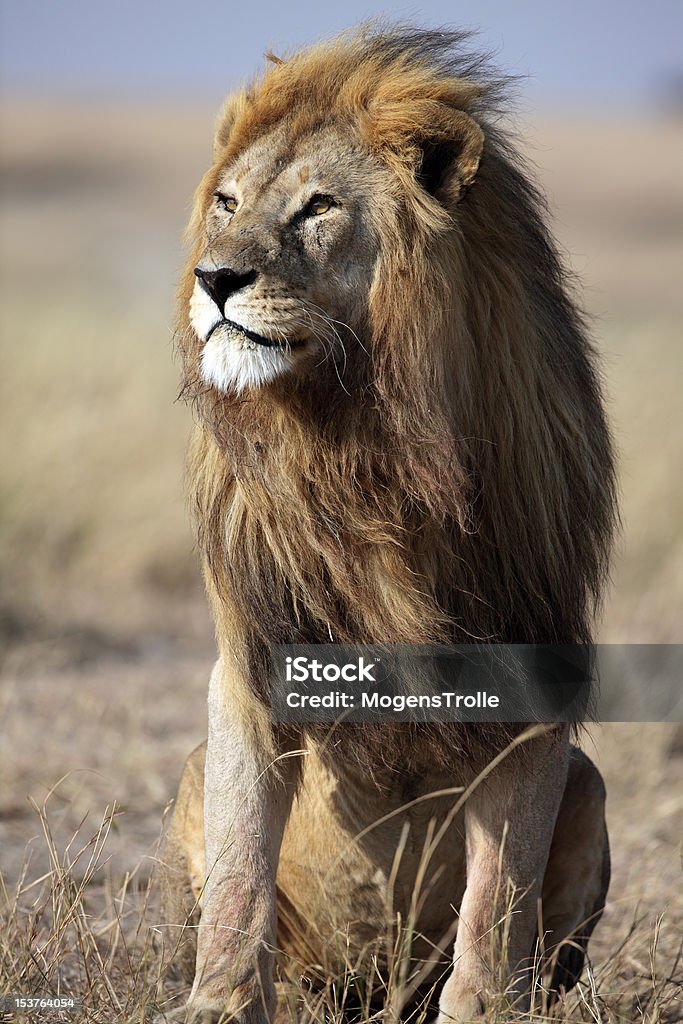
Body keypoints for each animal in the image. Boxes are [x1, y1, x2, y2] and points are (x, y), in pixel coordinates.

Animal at [162, 24, 618, 1024]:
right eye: (226, 203)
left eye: (317, 208)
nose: (215, 278)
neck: (362, 441)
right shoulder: (251, 664)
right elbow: (241, 877)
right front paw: (217, 1003)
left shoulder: (533, 676)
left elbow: (497, 904)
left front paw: (483, 1011)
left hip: (590, 789)